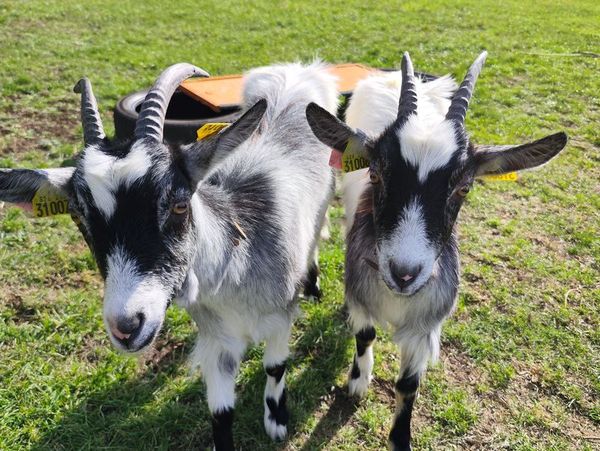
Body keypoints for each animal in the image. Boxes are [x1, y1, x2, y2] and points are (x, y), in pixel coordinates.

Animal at [0, 61, 338, 450]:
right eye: (79, 217)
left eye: (179, 204)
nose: (127, 326)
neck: (239, 261)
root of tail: (298, 70)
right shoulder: (218, 342)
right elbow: (221, 414)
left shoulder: (281, 318)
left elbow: (275, 367)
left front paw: (277, 421)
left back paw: (312, 282)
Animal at [304, 51, 568, 450]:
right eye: (375, 174)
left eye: (464, 188)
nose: (404, 273)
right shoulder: (363, 293)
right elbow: (365, 335)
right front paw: (357, 383)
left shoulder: (425, 325)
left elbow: (408, 384)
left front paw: (400, 438)